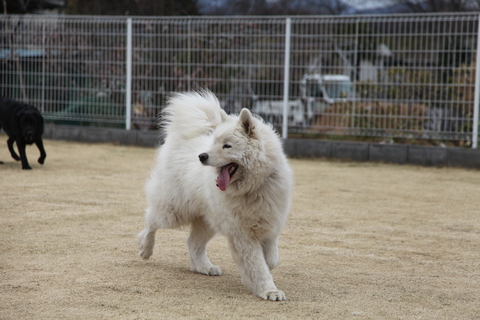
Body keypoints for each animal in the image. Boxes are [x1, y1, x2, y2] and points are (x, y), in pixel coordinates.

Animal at [135, 90, 292, 300]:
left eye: (227, 146)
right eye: (214, 143)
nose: (202, 156)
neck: (253, 188)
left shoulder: (271, 225)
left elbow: (272, 260)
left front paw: (260, 276)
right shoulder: (242, 234)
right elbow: (258, 265)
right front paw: (268, 290)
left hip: (208, 221)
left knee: (193, 242)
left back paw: (203, 267)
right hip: (174, 212)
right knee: (150, 220)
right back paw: (145, 248)